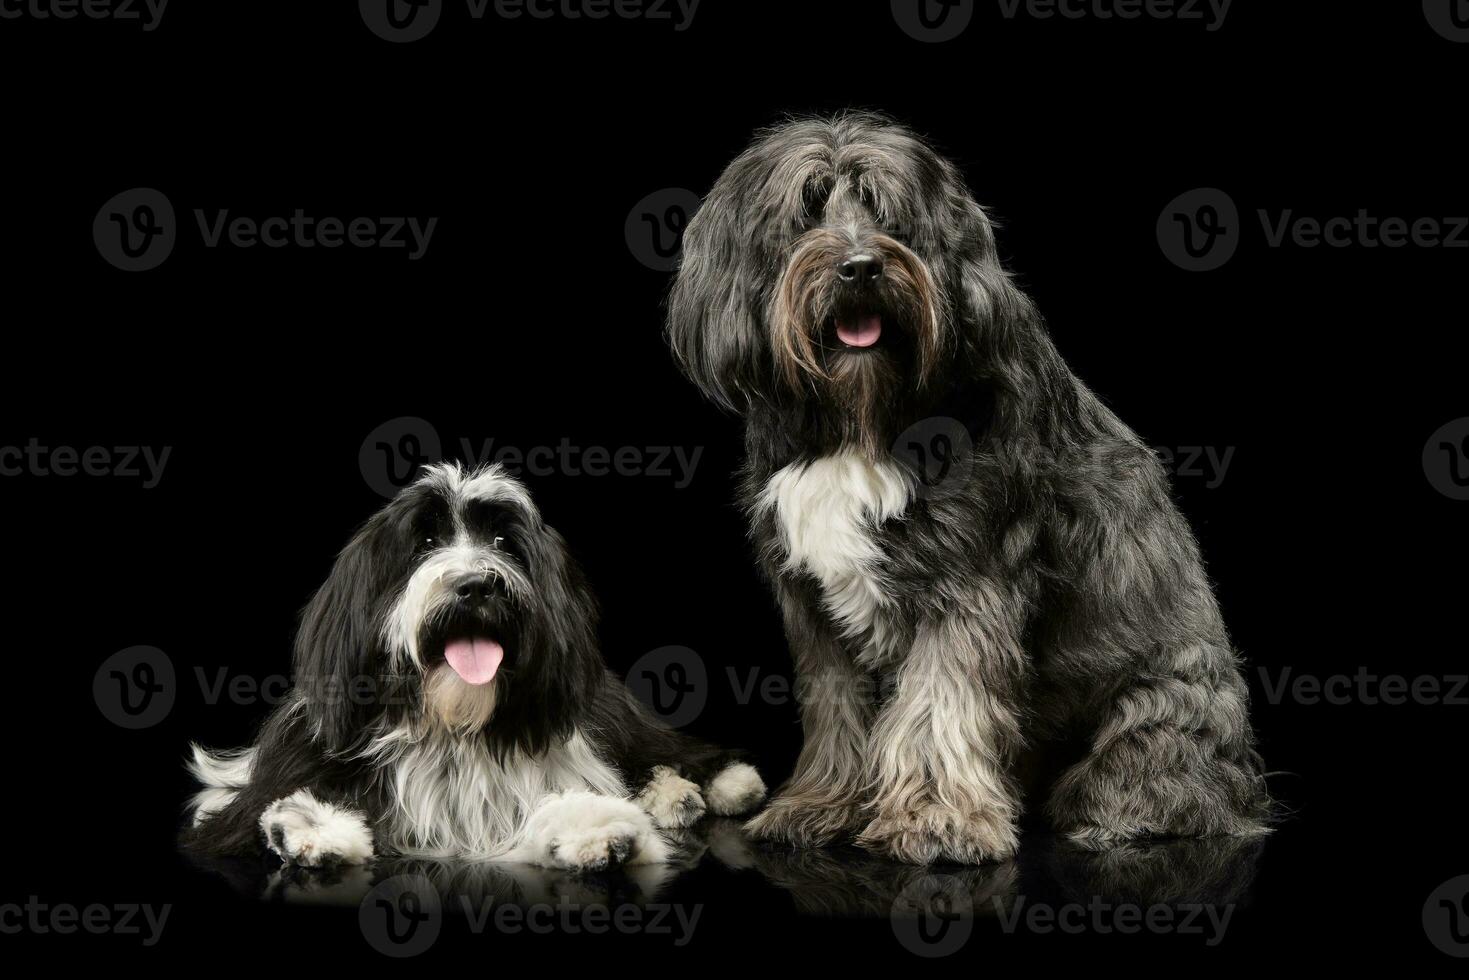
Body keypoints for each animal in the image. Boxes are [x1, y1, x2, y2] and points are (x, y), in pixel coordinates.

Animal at [180, 464, 769, 869]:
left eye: (504, 542)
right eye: (425, 542)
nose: (477, 585)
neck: (454, 728)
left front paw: (598, 827)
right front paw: (309, 826)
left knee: (665, 750)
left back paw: (709, 786)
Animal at [669, 113, 1275, 863]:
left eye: (887, 212)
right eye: (807, 208)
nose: (860, 266)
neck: (860, 419)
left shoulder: (968, 581)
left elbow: (939, 704)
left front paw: (935, 819)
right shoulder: (813, 602)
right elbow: (838, 707)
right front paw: (822, 805)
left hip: (1160, 705)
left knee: (1168, 777)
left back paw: (1120, 814)